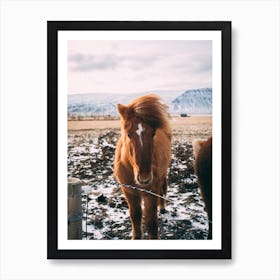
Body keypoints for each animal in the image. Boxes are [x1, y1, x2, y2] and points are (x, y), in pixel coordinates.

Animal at [113, 94, 171, 238]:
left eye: (153, 133)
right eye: (128, 134)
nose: (144, 178)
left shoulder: (151, 192)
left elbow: (151, 222)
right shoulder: (129, 191)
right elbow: (136, 216)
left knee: (163, 188)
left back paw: (162, 207)